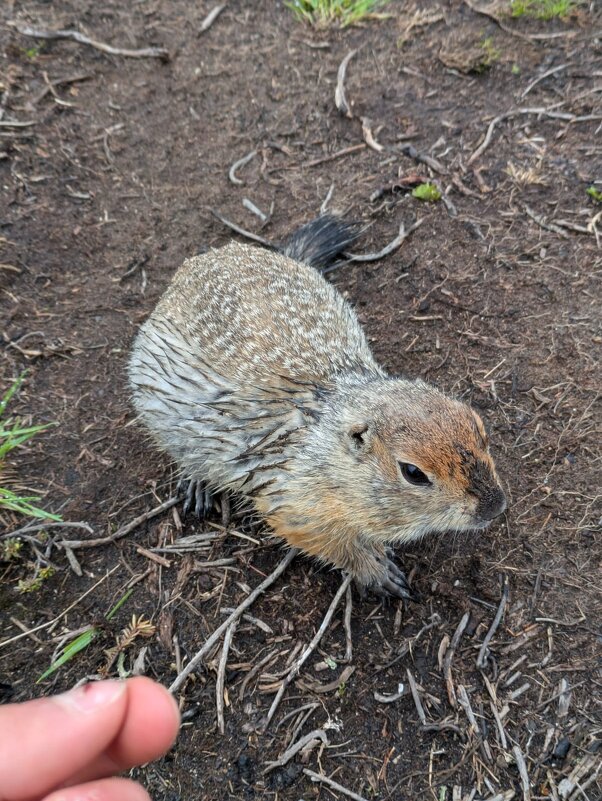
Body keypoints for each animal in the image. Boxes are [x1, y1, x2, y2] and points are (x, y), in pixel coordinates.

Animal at [129, 216, 504, 596]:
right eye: (413, 472)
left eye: (480, 429)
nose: (495, 506)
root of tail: (207, 257)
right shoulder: (295, 499)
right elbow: (323, 539)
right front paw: (378, 571)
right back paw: (197, 483)